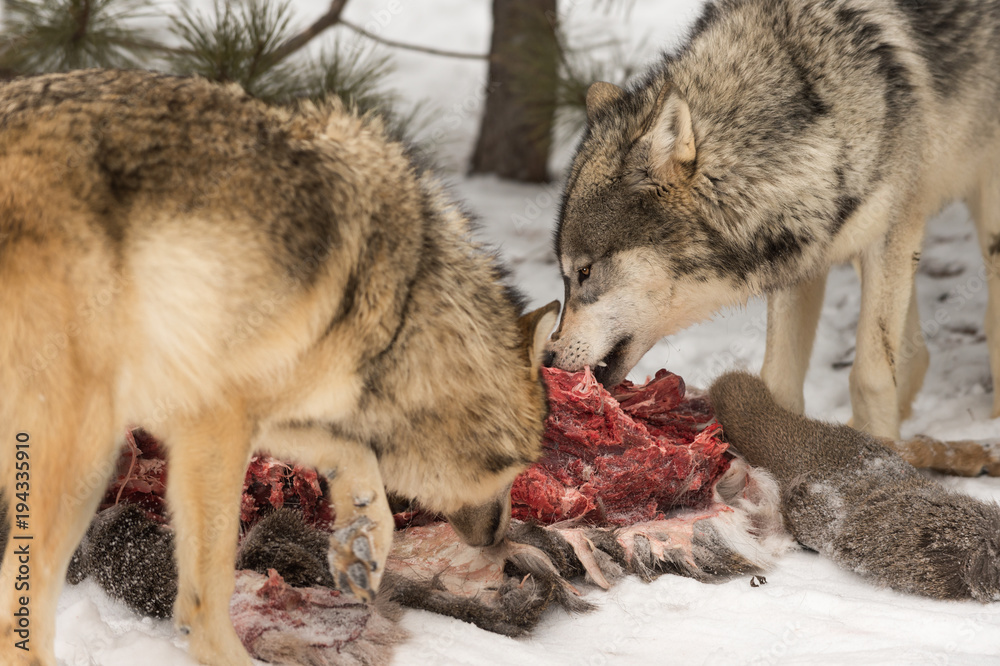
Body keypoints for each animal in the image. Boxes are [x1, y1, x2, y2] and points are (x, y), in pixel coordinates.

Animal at [0, 69, 559, 666]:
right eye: (518, 469)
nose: (500, 538)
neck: (400, 312)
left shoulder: (242, 412)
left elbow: (363, 476)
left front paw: (361, 546)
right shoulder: (214, 421)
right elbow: (209, 585)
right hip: (84, 450)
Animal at [546, 0, 1000, 438]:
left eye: (585, 272)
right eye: (566, 276)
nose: (547, 356)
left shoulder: (887, 236)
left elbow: (869, 376)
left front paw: (880, 451)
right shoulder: (803, 257)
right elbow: (778, 381)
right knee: (917, 350)